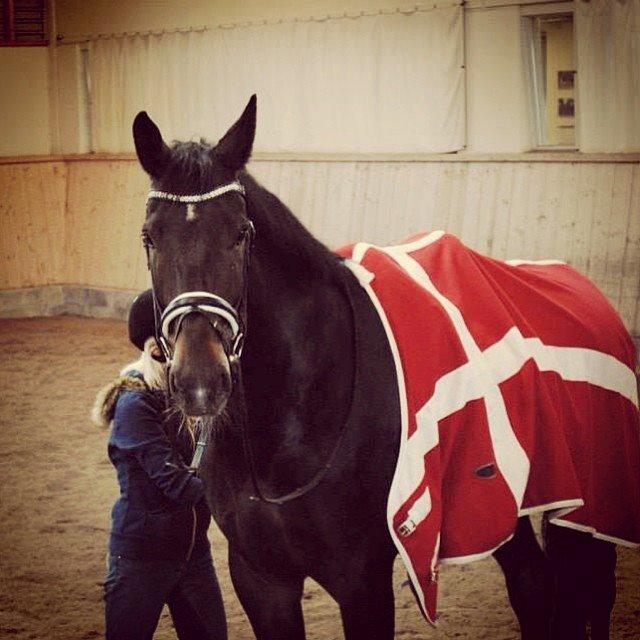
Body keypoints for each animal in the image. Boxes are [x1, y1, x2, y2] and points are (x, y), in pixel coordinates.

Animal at [134, 96, 620, 640]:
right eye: (150, 237)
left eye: (241, 234)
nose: (200, 381)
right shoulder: (261, 577)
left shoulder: (361, 578)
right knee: (535, 585)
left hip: (583, 500)